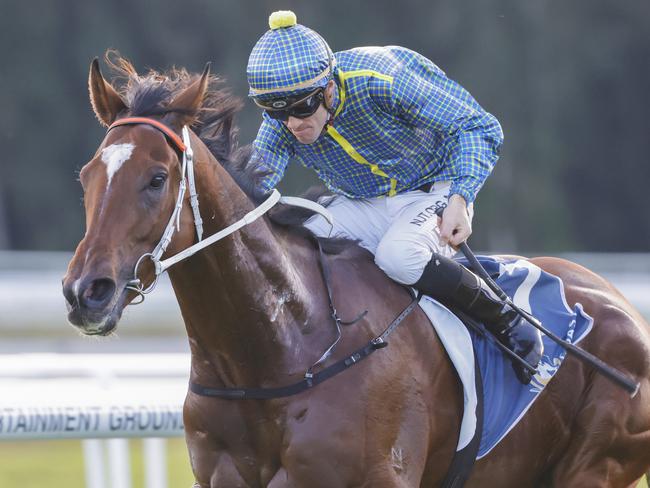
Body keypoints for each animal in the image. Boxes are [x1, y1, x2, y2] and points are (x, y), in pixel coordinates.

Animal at [63, 55, 648, 486]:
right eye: (86, 174)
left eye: (157, 178)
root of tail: (620, 302)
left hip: (595, 466)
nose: (86, 292)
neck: (280, 350)